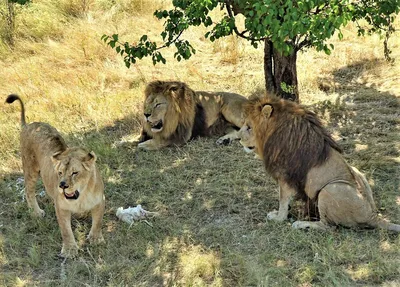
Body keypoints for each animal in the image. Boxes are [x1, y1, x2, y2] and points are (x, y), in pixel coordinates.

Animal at [6, 95, 106, 258]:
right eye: (60, 173)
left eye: (74, 173)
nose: (62, 185)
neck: (81, 196)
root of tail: (28, 125)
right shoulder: (61, 207)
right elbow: (66, 230)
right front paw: (70, 250)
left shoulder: (99, 201)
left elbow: (97, 222)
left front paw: (96, 239)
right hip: (30, 168)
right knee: (28, 191)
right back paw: (36, 212)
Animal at [239, 95, 398, 233]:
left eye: (249, 127)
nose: (239, 139)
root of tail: (373, 216)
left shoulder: (285, 175)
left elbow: (282, 201)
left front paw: (278, 218)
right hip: (356, 172)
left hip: (329, 189)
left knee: (328, 227)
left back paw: (302, 224)